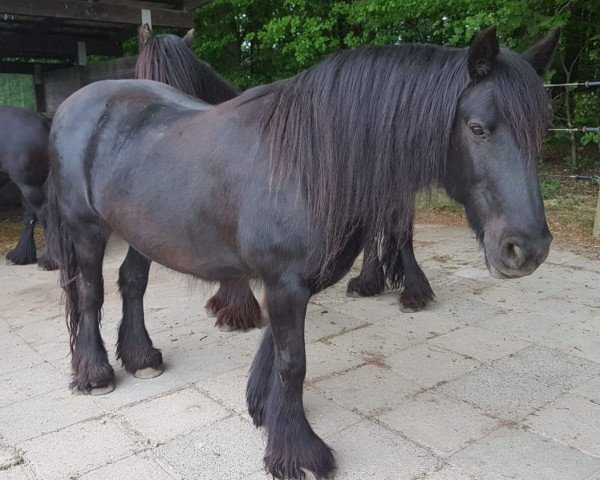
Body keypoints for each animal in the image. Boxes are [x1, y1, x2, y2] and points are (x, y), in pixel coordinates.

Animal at [0, 106, 55, 270]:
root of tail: (44, 121)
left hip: (28, 185)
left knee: (43, 214)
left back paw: (49, 260)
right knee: (30, 215)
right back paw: (21, 255)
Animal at [47, 27, 556, 480]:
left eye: (541, 133)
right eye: (477, 129)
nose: (526, 248)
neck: (306, 162)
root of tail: (74, 103)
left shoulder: (296, 281)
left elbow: (276, 349)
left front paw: (263, 409)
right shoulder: (284, 282)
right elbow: (294, 362)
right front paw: (297, 453)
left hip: (143, 231)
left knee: (132, 282)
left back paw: (141, 357)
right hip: (87, 231)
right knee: (90, 294)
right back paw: (95, 374)